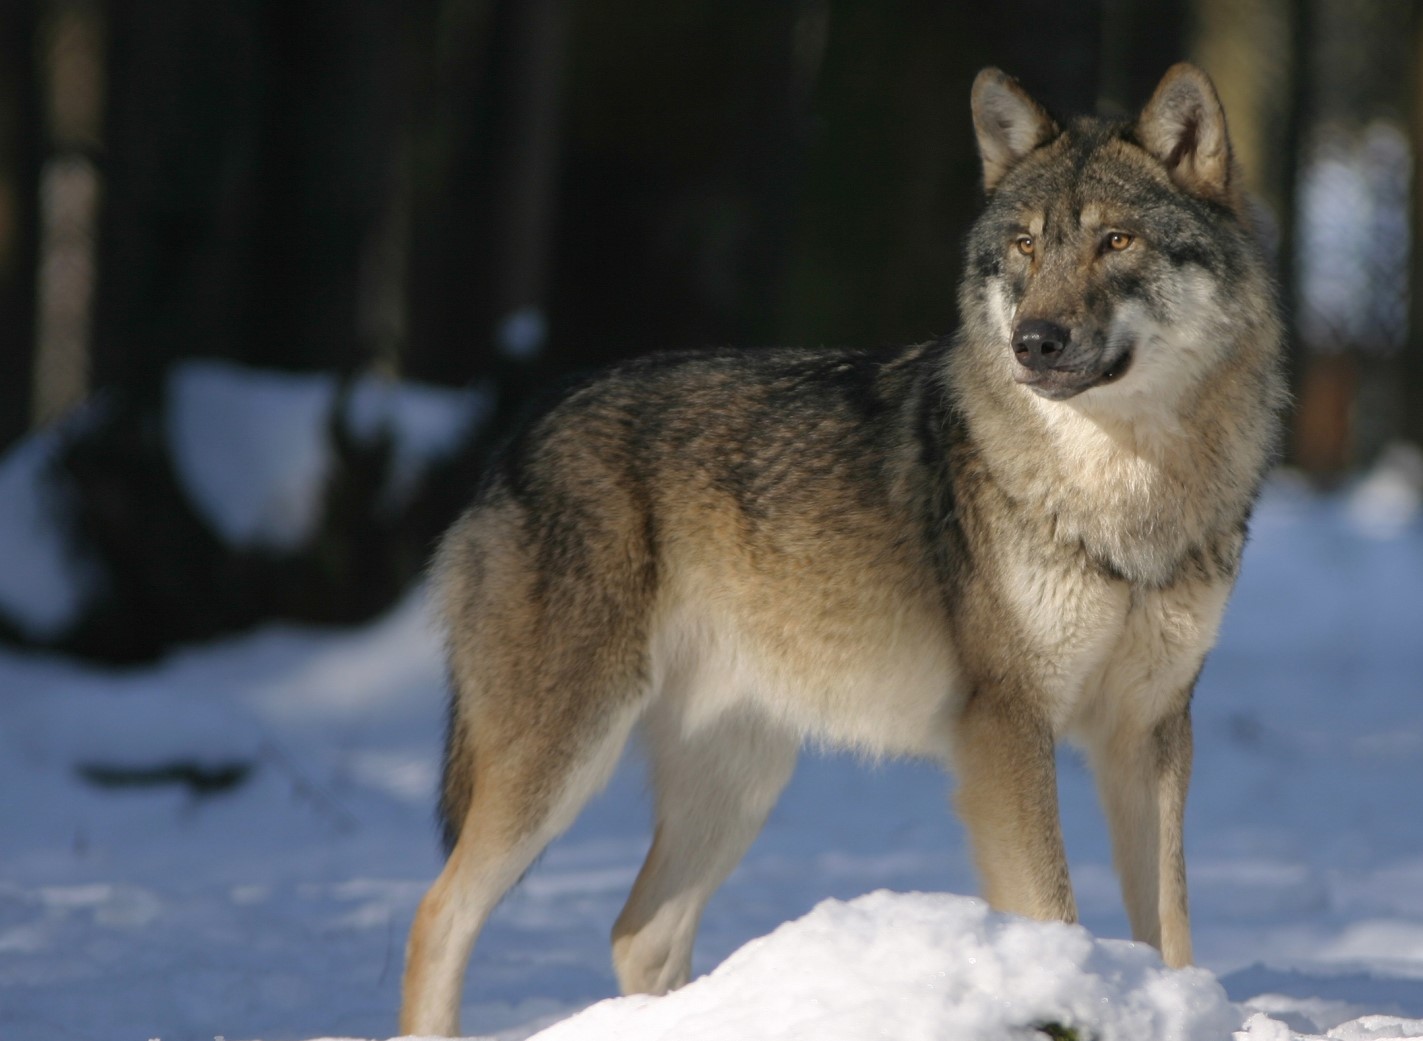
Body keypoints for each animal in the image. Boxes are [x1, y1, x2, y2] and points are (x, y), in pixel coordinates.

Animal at [401, 62, 1292, 1035]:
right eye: (1024, 246)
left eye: (1116, 240)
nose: (1033, 341)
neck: (1123, 491)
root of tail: (522, 428)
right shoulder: (1007, 724)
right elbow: (1053, 907)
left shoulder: (1150, 730)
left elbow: (1170, 928)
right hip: (562, 757)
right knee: (438, 911)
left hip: (740, 778)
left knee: (638, 931)